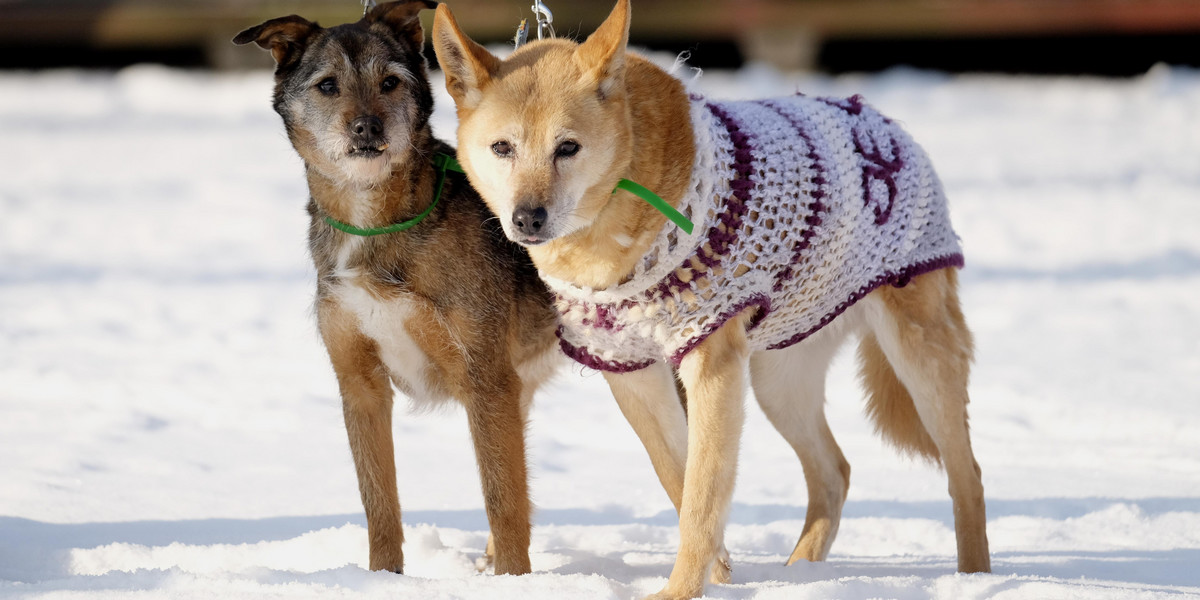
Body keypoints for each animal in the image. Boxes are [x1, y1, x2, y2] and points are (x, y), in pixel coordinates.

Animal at [234, 0, 561, 576]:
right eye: (327, 86)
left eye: (389, 82)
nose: (367, 126)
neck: (374, 226)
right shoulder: (360, 383)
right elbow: (379, 500)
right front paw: (383, 578)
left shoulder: (486, 378)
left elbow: (503, 500)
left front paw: (513, 582)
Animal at [436, 2, 988, 597]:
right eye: (502, 148)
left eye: (568, 147)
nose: (527, 219)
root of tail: (883, 124)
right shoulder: (629, 370)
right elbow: (678, 478)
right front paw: (718, 570)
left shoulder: (710, 362)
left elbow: (701, 494)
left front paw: (682, 589)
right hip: (778, 380)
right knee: (834, 471)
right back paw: (801, 573)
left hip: (917, 355)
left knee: (968, 476)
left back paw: (974, 576)